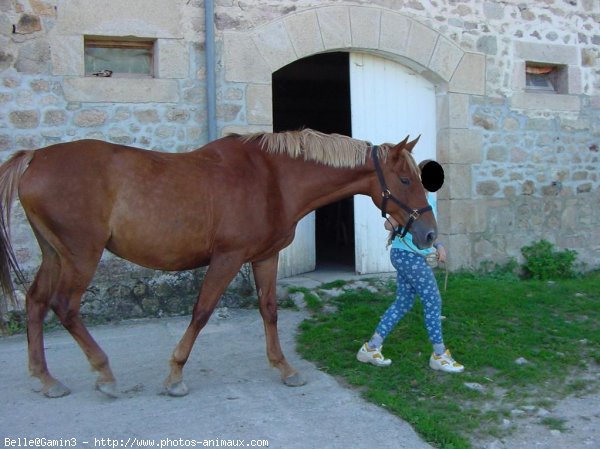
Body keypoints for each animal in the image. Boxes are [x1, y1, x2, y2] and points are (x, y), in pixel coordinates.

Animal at [0, 128, 436, 398]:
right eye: (405, 181)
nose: (430, 235)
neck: (274, 179)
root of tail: (34, 158)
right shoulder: (228, 258)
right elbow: (202, 311)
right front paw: (175, 375)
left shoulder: (265, 257)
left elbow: (269, 309)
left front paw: (284, 369)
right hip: (81, 255)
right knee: (65, 307)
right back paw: (104, 373)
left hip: (54, 254)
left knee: (36, 302)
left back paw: (46, 378)